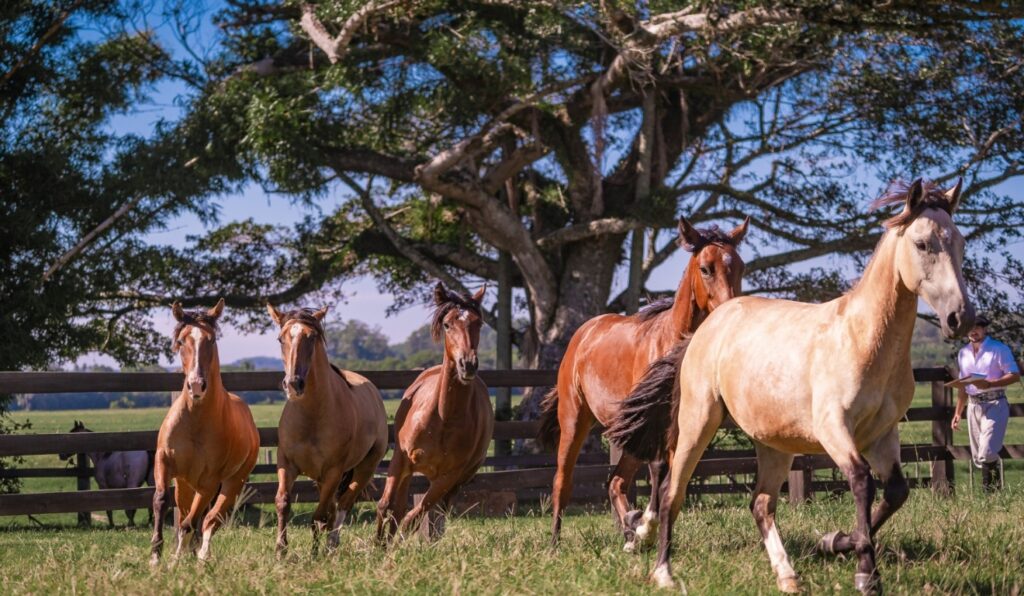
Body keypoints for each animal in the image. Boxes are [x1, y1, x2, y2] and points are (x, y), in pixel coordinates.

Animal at [149, 299, 260, 565]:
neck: (195, 422)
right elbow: (161, 501)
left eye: (211, 340)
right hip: (184, 484)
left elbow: (191, 522)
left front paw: (174, 561)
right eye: (181, 341)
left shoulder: (209, 481)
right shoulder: (164, 462)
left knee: (209, 520)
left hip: (231, 483)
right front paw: (155, 556)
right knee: (188, 514)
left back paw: (200, 556)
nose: (197, 385)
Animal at [267, 304, 388, 557]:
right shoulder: (287, 463)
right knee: (333, 507)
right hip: (323, 479)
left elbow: (320, 515)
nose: (293, 384)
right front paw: (281, 551)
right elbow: (283, 503)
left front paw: (314, 553)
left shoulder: (333, 471)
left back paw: (331, 545)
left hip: (364, 469)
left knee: (342, 504)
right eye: (281, 338)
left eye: (311, 337)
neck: (312, 416)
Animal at [376, 283, 493, 542]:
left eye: (478, 323)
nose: (468, 365)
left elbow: (415, 515)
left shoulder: (449, 476)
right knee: (398, 506)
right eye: (448, 324)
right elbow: (386, 505)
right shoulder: (401, 459)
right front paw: (378, 544)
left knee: (424, 511)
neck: (444, 418)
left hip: (453, 481)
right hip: (410, 470)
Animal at [537, 215, 748, 550]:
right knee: (563, 481)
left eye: (740, 267)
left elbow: (675, 480)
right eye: (706, 268)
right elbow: (661, 474)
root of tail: (583, 334)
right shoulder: (656, 426)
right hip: (574, 421)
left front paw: (646, 531)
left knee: (616, 482)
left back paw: (629, 532)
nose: (731, 314)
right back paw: (555, 545)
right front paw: (647, 527)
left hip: (629, 434)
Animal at [615, 179, 972, 594]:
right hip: (697, 420)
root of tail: (709, 325)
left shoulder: (882, 435)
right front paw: (865, 573)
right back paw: (663, 573)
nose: (960, 318)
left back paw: (787, 576)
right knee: (673, 490)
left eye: (960, 242)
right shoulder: (834, 429)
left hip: (773, 442)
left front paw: (834, 542)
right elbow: (861, 482)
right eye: (922, 244)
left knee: (760, 503)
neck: (863, 339)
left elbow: (896, 492)